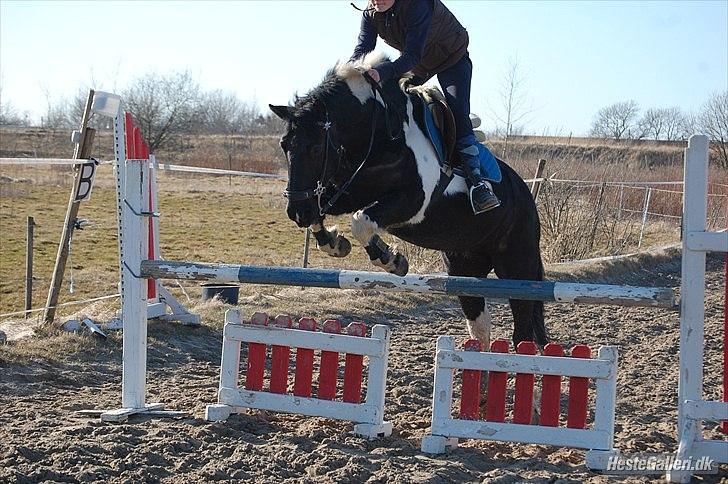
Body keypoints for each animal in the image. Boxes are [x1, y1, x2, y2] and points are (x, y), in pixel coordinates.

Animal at [269, 53, 547, 348]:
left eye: (315, 148)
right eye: (284, 145)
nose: (295, 211)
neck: (380, 133)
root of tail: (524, 192)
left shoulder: (413, 202)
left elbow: (361, 221)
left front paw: (390, 259)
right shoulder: (347, 191)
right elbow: (326, 213)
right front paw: (335, 243)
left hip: (518, 264)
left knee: (523, 328)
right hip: (465, 267)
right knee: (480, 326)